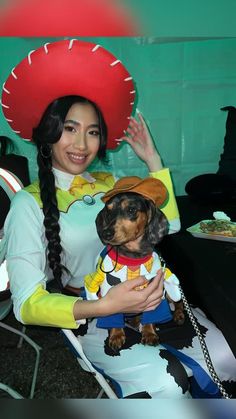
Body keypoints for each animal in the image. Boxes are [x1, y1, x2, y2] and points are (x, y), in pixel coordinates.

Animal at [85, 176, 185, 352]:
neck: (133, 257)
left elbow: (151, 315)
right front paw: (116, 335)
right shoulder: (110, 292)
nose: (106, 233)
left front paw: (149, 332)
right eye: (108, 211)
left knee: (178, 302)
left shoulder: (155, 293)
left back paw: (178, 315)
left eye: (131, 210)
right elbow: (113, 316)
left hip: (170, 291)